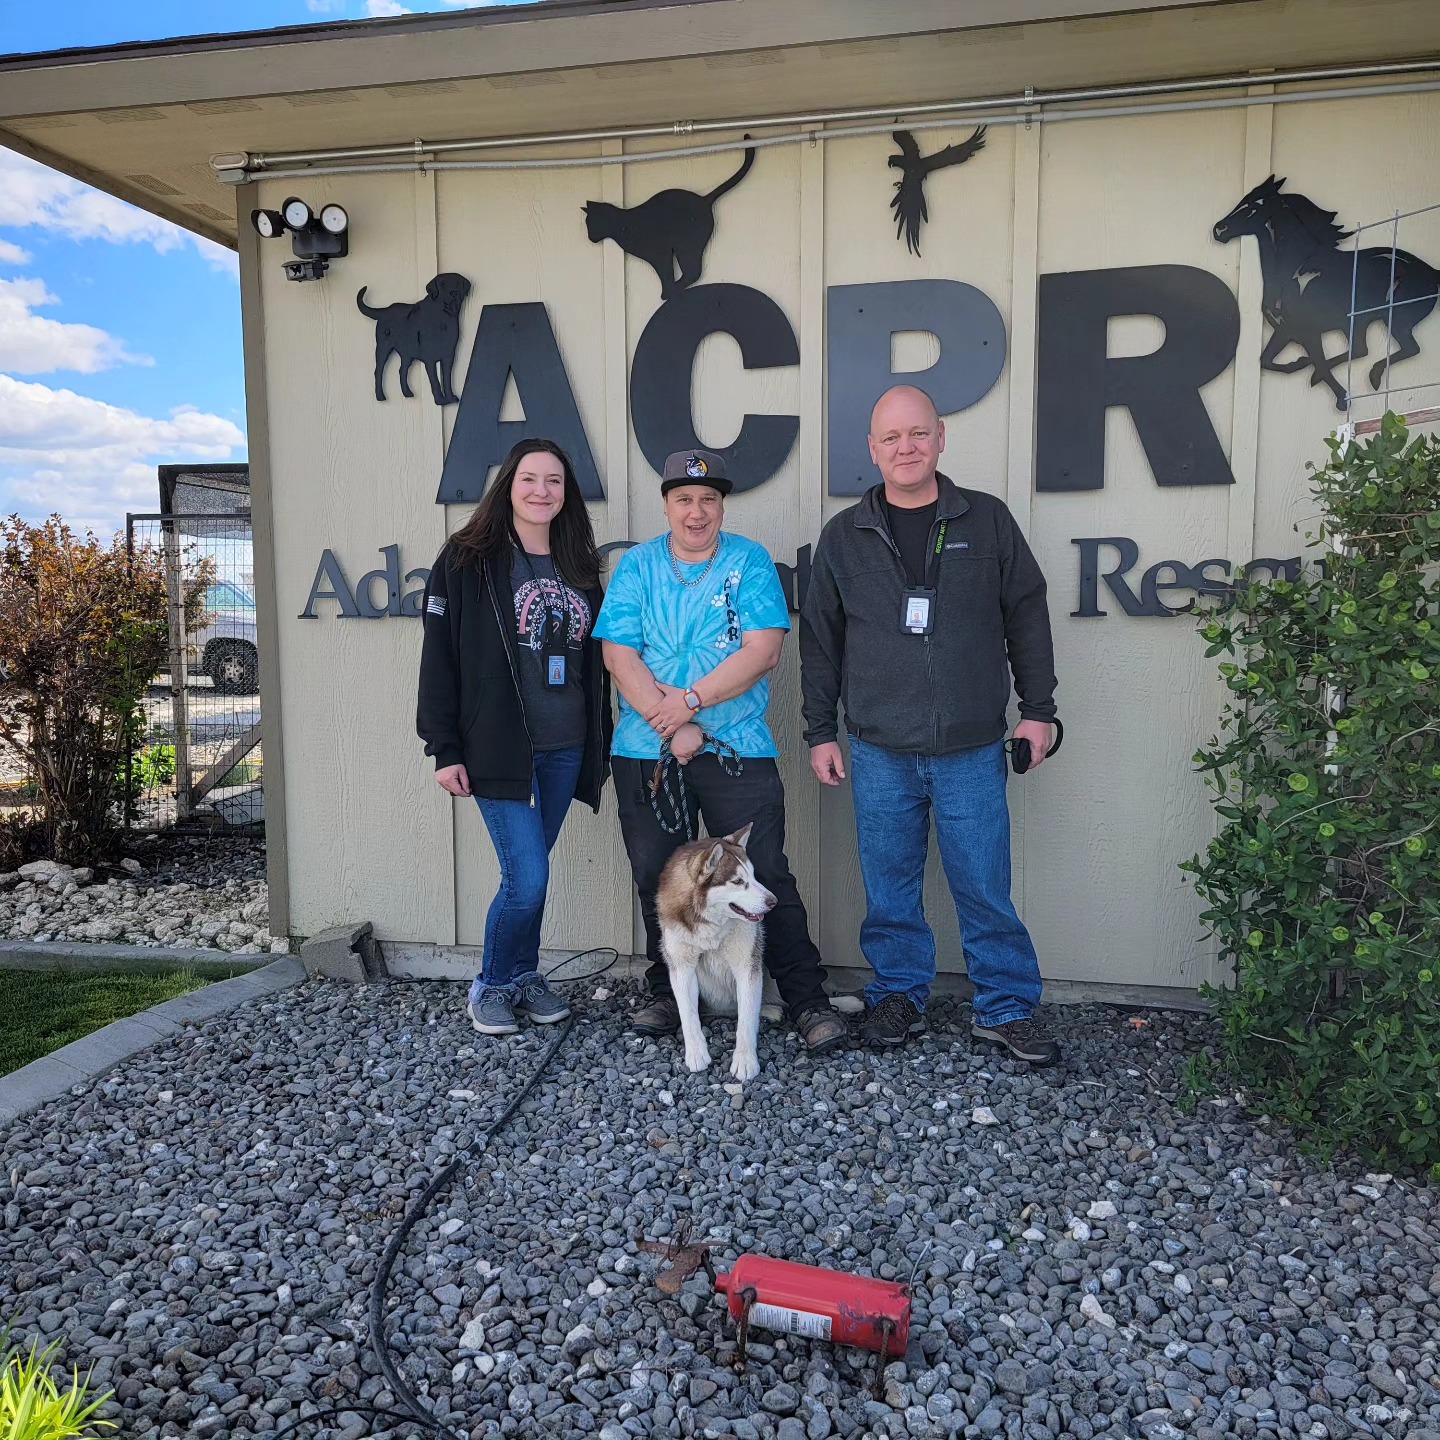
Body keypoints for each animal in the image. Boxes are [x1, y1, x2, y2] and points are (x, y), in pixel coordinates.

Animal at [659, 823, 777, 1082]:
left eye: (753, 875)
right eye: (738, 881)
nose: (773, 901)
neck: (710, 928)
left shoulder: (747, 965)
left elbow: (747, 1019)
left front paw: (745, 1062)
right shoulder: (681, 967)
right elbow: (688, 1014)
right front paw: (696, 1054)